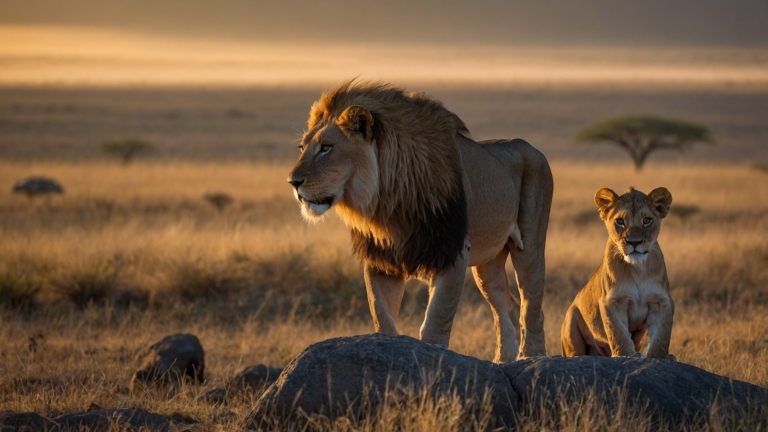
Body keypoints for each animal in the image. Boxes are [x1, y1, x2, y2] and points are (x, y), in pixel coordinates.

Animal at [287, 80, 553, 362]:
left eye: (326, 147)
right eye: (302, 148)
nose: (292, 182)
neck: (385, 202)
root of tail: (532, 148)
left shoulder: (452, 250)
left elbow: (438, 315)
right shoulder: (380, 258)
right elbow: (381, 314)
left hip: (530, 245)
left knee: (531, 304)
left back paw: (532, 357)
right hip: (487, 265)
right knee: (501, 306)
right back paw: (503, 360)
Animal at [561, 187, 676, 360]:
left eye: (647, 220)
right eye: (620, 221)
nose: (634, 242)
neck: (637, 269)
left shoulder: (661, 301)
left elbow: (661, 337)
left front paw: (659, 358)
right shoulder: (612, 301)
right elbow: (618, 334)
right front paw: (625, 356)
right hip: (570, 322)